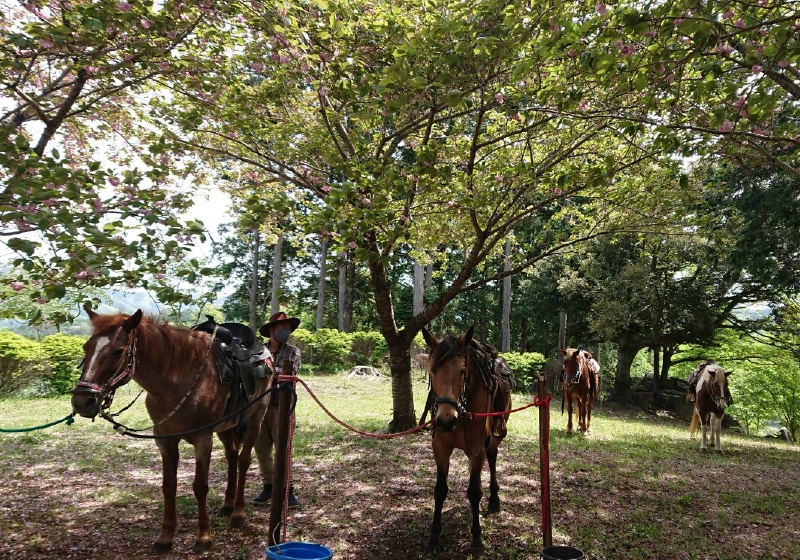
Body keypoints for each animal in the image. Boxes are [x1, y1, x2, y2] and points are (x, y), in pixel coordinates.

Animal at [69, 304, 268, 552]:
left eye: (118, 351)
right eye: (86, 347)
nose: (82, 401)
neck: (176, 381)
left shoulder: (203, 439)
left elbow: (200, 486)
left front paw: (204, 537)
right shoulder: (165, 440)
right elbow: (168, 486)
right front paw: (165, 537)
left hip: (255, 419)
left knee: (243, 461)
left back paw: (238, 513)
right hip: (225, 427)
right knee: (232, 457)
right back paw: (227, 505)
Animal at [418, 326, 512, 552]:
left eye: (462, 371)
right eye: (432, 370)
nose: (445, 420)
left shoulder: (476, 449)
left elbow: (474, 492)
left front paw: (477, 538)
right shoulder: (440, 448)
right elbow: (440, 490)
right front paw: (434, 536)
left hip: (495, 436)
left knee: (492, 457)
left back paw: (494, 499)